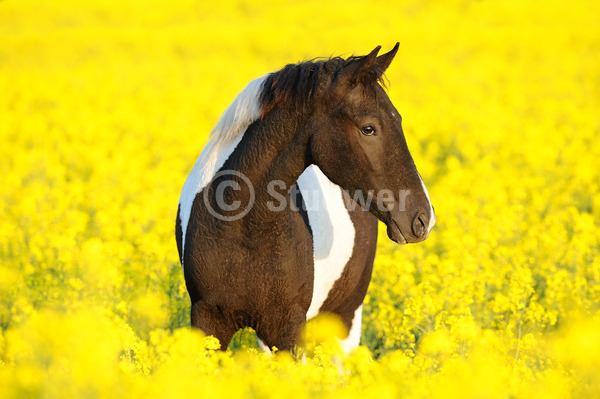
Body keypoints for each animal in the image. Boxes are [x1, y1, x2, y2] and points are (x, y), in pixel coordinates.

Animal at [176, 44, 434, 354]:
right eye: (368, 128)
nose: (423, 219)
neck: (244, 227)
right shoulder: (209, 321)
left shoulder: (287, 328)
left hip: (346, 317)